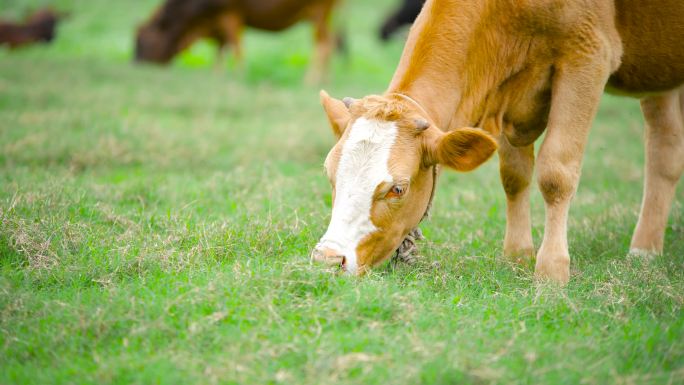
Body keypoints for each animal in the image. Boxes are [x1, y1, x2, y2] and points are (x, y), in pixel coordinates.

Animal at [134, 0, 340, 82]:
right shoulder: (218, 25)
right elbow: (220, 52)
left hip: (319, 11)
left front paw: (239, 75)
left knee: (323, 44)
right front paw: (217, 76)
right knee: (329, 43)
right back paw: (324, 79)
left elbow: (236, 48)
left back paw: (311, 79)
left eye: (143, 41)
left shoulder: (230, 15)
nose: (136, 63)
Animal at [312, 0, 684, 282]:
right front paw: (518, 256)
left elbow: (556, 173)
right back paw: (645, 249)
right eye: (330, 175)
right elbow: (514, 175)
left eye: (397, 189)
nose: (328, 259)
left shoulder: (588, 55)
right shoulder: (507, 93)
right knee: (664, 150)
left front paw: (551, 271)